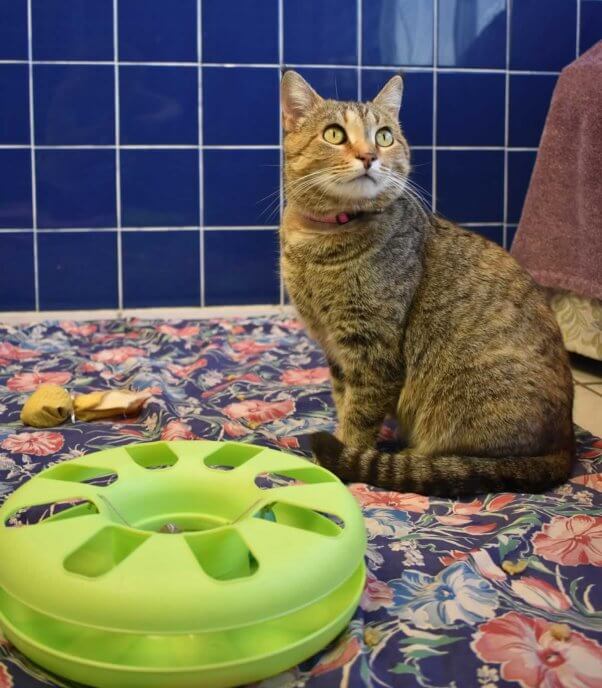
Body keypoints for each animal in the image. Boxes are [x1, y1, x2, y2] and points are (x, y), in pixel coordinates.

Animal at [278, 72, 576, 498]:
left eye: (384, 136)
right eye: (334, 134)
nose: (369, 156)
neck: (322, 241)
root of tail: (566, 446)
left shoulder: (373, 351)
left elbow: (358, 418)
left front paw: (340, 461)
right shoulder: (334, 349)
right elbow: (342, 400)